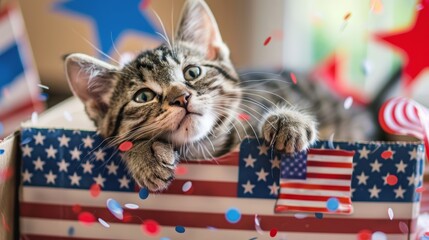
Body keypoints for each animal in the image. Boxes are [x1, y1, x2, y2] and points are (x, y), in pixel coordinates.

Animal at [63, 0, 372, 191]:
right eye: (143, 96)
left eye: (192, 72)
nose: (181, 97)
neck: (206, 149)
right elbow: (122, 141)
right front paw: (143, 155)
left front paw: (289, 121)